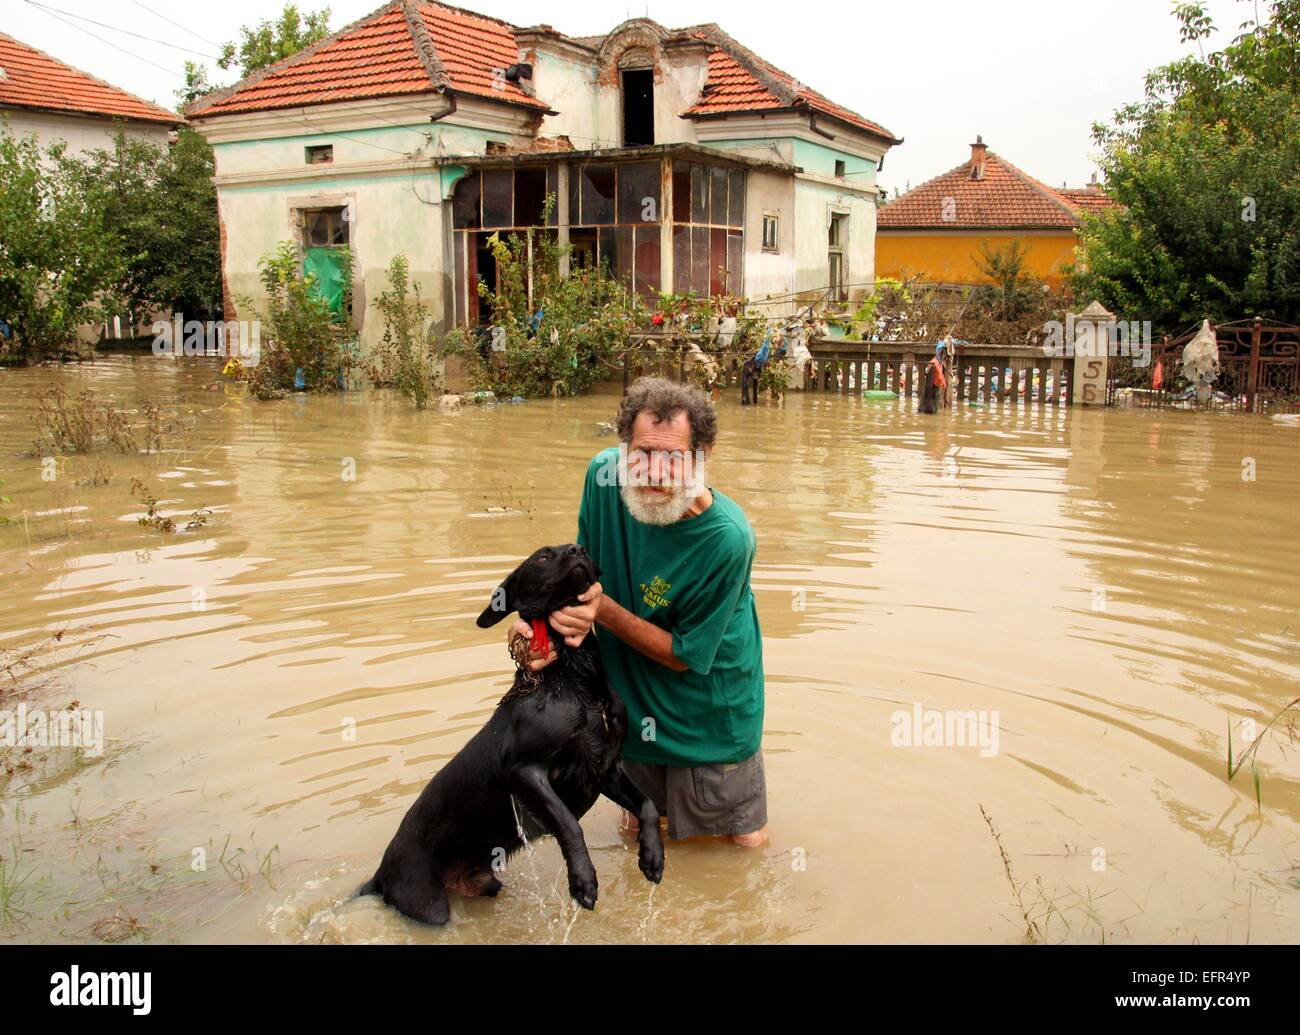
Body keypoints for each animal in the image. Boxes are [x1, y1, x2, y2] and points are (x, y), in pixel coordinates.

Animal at [356, 540, 665, 920]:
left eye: (580, 549)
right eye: (543, 557)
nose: (577, 547)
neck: (575, 678)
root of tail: (381, 873)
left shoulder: (604, 765)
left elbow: (648, 805)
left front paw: (652, 857)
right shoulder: (524, 770)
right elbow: (569, 823)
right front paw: (583, 881)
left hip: (485, 885)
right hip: (427, 904)